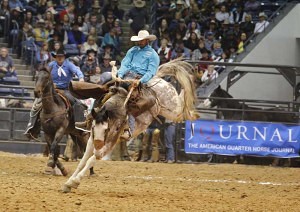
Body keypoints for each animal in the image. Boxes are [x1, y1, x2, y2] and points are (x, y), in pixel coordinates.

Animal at [62, 58, 199, 193]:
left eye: (107, 129)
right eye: (94, 127)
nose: (98, 145)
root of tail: (158, 79)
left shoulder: (111, 142)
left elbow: (92, 159)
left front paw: (75, 181)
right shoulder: (92, 139)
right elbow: (83, 161)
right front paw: (68, 183)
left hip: (173, 110)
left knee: (182, 105)